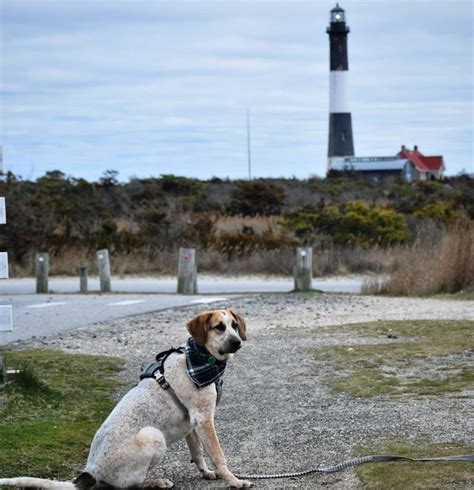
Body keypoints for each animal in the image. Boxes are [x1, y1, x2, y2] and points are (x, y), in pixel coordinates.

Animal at [0, 308, 252, 488]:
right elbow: (218, 455)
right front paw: (234, 481)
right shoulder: (204, 419)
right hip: (154, 436)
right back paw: (155, 482)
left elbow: (198, 453)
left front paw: (207, 473)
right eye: (219, 328)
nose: (237, 342)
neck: (199, 361)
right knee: (130, 484)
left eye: (234, 326)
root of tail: (90, 471)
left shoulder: (192, 423)